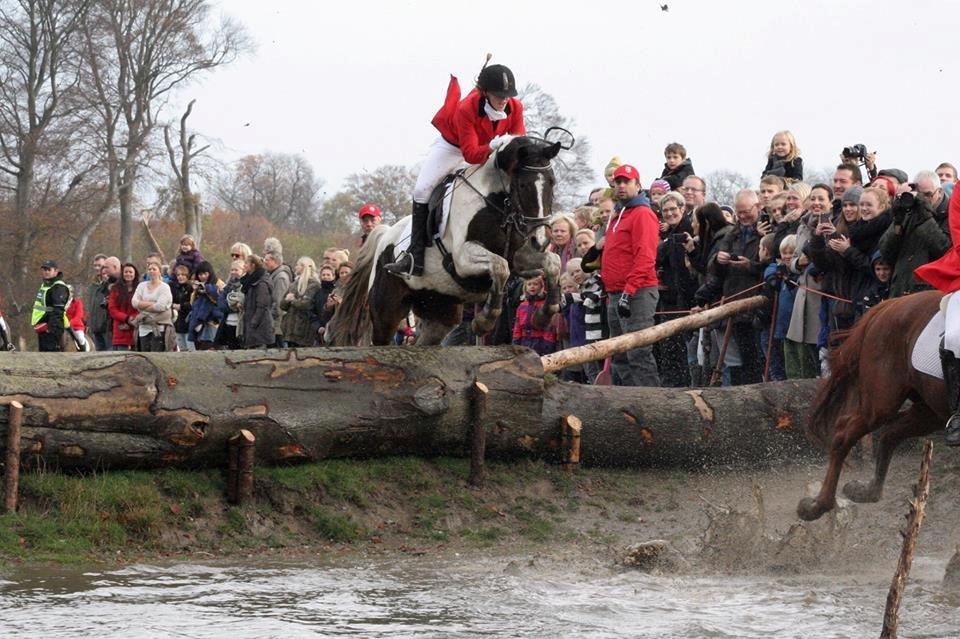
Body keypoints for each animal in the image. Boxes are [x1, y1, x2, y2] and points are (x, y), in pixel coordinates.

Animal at [326, 134, 564, 344]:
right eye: (522, 185)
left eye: (552, 183)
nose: (540, 240)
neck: (494, 205)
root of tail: (384, 235)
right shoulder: (462, 259)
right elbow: (500, 267)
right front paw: (484, 321)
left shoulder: (519, 257)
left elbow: (553, 262)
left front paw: (544, 315)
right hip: (387, 310)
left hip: (439, 311)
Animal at [796, 292, 944, 524]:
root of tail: (888, 305)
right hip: (880, 403)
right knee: (845, 433)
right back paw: (819, 505)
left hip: (932, 410)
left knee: (890, 433)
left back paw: (867, 491)